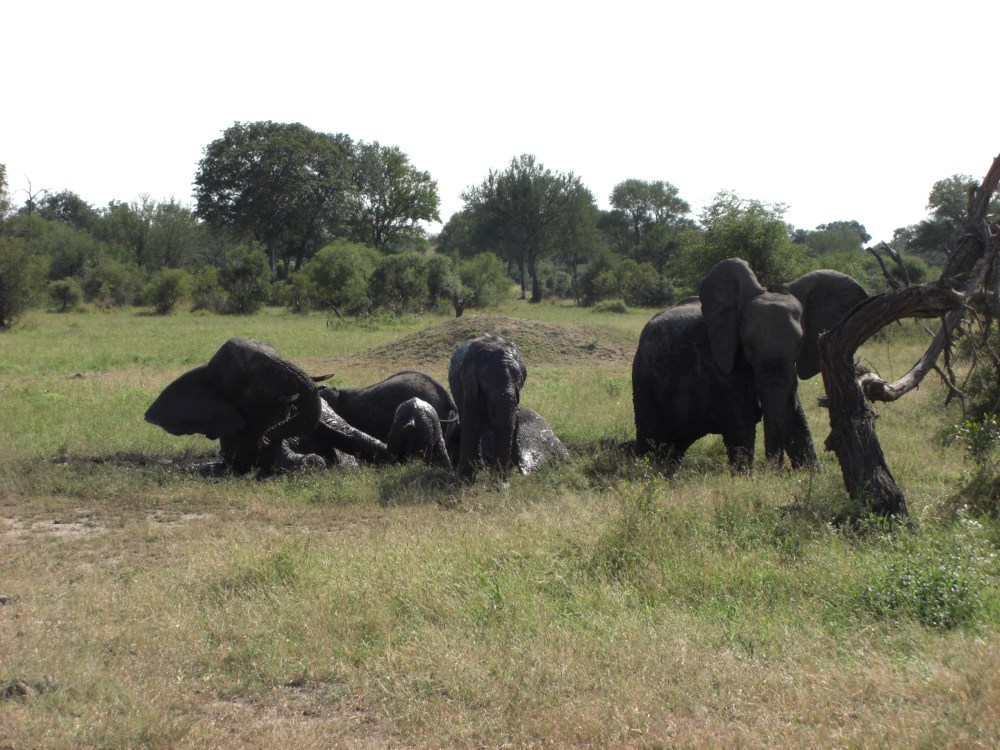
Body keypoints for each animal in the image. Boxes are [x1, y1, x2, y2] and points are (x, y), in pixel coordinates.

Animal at [448, 334, 528, 480]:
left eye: (518, 378)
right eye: (486, 378)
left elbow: (509, 424)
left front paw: (502, 482)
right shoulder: (470, 385)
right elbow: (471, 423)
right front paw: (465, 480)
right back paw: (479, 467)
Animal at [631, 258, 868, 471]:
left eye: (800, 343)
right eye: (748, 345)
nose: (774, 471)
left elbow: (795, 420)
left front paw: (811, 474)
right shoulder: (721, 367)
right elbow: (741, 427)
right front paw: (745, 476)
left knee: (675, 444)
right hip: (643, 375)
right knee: (652, 437)